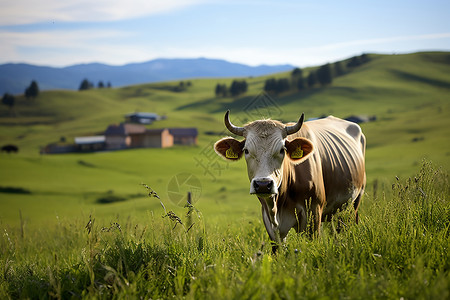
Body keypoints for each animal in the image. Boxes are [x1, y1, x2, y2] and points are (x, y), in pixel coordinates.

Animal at [214, 111, 366, 250]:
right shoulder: (271, 225)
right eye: (246, 150)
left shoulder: (314, 213)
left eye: (282, 150)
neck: (279, 205)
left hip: (354, 202)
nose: (263, 184)